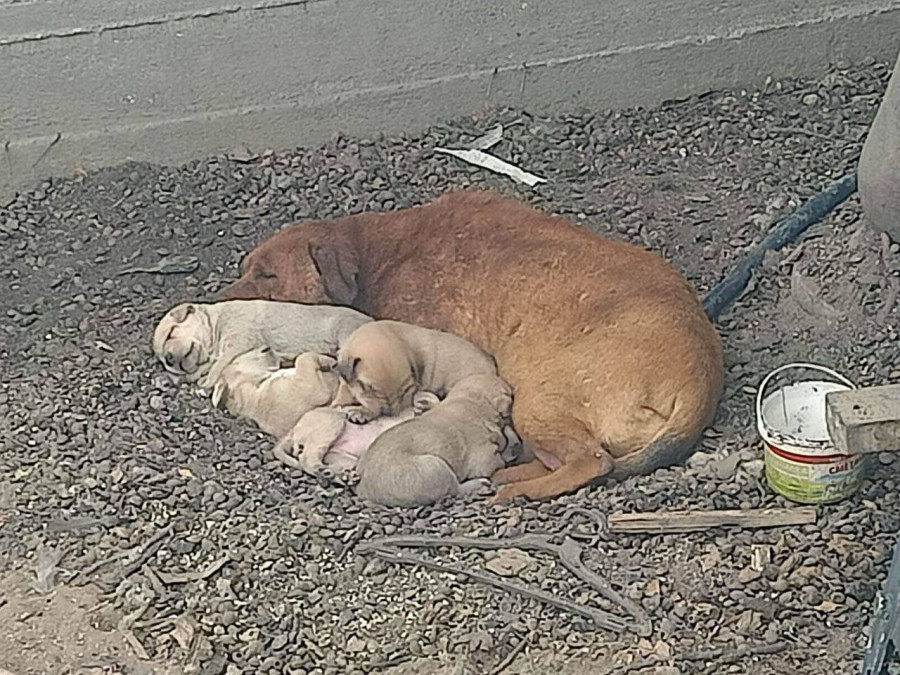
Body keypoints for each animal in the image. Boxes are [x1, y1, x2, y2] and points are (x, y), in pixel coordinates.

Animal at [153, 302, 370, 390]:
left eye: (171, 333)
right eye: (165, 361)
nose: (170, 359)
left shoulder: (238, 337)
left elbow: (219, 363)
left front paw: (205, 381)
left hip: (345, 332)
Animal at [334, 320, 496, 422]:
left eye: (405, 390)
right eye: (369, 388)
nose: (391, 414)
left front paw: (362, 411)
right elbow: (344, 392)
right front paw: (337, 403)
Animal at [356, 372, 516, 510]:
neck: (470, 399)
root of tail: (363, 489)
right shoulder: (483, 455)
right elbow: (495, 461)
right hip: (434, 469)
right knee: (454, 489)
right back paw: (479, 484)